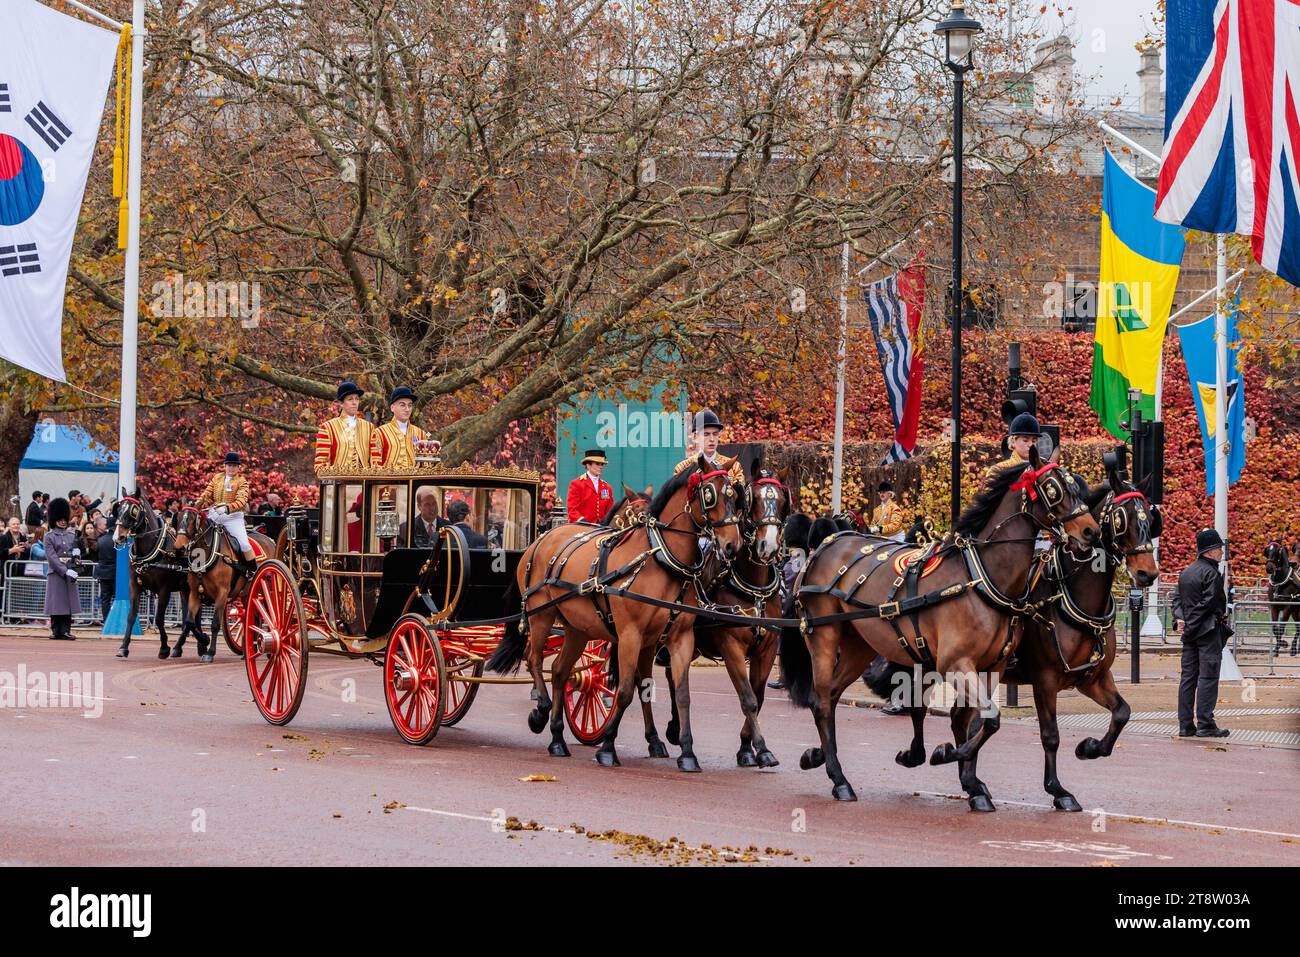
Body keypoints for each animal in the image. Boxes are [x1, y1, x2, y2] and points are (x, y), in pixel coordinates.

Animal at [110, 494, 205, 657]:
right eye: (119, 508)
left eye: (133, 511)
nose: (118, 537)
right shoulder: (134, 585)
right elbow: (131, 616)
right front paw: (123, 647)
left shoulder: (164, 590)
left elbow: (159, 619)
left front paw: (164, 648)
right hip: (185, 590)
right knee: (191, 616)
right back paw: (186, 646)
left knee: (191, 617)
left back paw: (196, 644)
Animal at [175, 504, 274, 660]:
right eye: (178, 519)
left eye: (192, 520)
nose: (179, 548)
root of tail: (269, 539)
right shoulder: (195, 593)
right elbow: (189, 622)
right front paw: (202, 641)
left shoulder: (222, 593)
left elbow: (215, 624)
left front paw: (210, 652)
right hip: (247, 593)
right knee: (252, 616)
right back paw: (249, 649)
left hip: (267, 589)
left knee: (270, 613)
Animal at [488, 455, 743, 769]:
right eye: (710, 495)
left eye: (734, 496)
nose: (732, 545)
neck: (660, 560)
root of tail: (541, 539)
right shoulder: (630, 636)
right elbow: (625, 691)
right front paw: (608, 746)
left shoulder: (674, 638)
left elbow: (675, 693)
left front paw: (684, 751)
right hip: (540, 616)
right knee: (533, 658)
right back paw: (541, 711)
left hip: (577, 628)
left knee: (560, 671)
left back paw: (558, 738)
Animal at [774, 447, 1102, 800]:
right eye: (1053, 489)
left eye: (1077, 487)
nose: (1091, 531)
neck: (980, 577)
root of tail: (824, 545)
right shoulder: (955, 663)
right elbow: (987, 719)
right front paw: (950, 755)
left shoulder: (991, 667)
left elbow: (974, 719)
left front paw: (968, 778)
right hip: (824, 637)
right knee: (821, 701)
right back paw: (839, 779)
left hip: (860, 644)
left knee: (832, 695)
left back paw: (820, 756)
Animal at [878, 468, 1164, 811]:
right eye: (1122, 518)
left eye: (1150, 516)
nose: (1148, 573)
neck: (1072, 595)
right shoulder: (1045, 680)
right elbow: (1050, 735)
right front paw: (1058, 790)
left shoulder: (1092, 679)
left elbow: (1122, 712)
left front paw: (1090, 747)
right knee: (923, 708)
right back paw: (929, 759)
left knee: (960, 719)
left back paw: (970, 781)